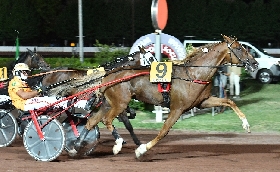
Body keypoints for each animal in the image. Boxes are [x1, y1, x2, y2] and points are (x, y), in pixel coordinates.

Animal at [72, 34, 258, 159]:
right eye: (240, 48)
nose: (255, 63)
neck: (193, 74)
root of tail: (109, 74)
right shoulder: (177, 108)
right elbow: (163, 131)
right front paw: (141, 150)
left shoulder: (202, 102)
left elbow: (229, 101)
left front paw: (246, 124)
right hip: (120, 103)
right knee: (107, 120)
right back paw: (117, 144)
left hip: (108, 103)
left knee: (91, 121)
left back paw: (75, 147)